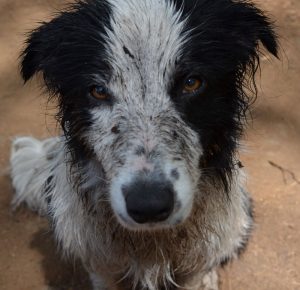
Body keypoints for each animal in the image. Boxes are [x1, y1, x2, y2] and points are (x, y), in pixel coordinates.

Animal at [9, 1, 278, 288]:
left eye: (192, 83)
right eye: (97, 91)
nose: (149, 206)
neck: (151, 241)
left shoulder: (195, 262)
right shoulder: (101, 264)